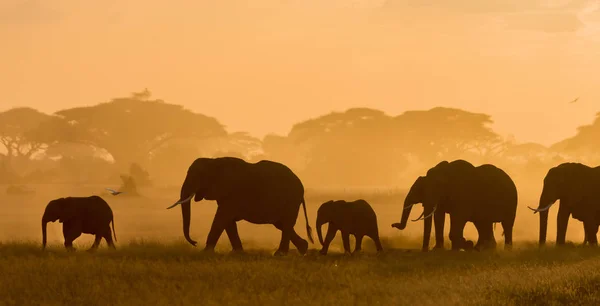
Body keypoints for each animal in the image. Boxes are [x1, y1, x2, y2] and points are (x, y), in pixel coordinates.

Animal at [165, 157, 314, 255]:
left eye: (197, 176)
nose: (194, 242)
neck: (213, 161)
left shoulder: (232, 192)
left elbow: (221, 218)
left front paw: (205, 253)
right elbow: (228, 222)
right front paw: (237, 253)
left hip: (291, 200)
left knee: (286, 224)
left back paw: (280, 254)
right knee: (281, 224)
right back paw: (303, 249)